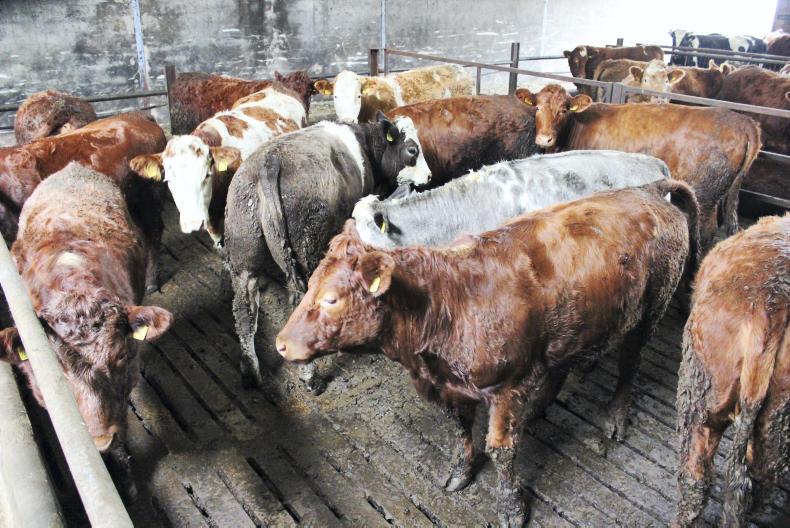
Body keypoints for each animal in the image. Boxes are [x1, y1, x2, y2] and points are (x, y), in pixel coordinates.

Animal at [224, 113, 431, 391]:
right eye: (412, 150)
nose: (429, 176)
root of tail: (270, 162)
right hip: (304, 252)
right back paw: (311, 377)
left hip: (242, 255)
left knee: (244, 310)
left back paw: (250, 372)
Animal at [276, 179, 699, 527]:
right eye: (309, 285)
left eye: (332, 299)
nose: (280, 343)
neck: (450, 302)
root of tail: (649, 190)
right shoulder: (449, 386)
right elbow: (461, 429)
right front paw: (460, 472)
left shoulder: (508, 388)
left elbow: (501, 451)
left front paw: (511, 506)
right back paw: (542, 404)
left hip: (650, 311)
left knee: (630, 363)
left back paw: (614, 418)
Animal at [516, 84, 761, 253]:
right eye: (537, 107)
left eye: (564, 110)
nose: (544, 138)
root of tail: (743, 121)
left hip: (706, 194)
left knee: (707, 232)